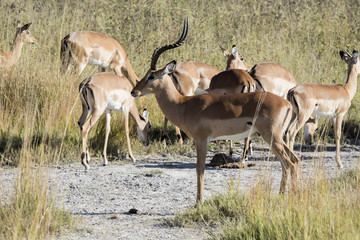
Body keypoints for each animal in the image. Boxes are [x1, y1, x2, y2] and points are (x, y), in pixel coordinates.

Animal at [132, 21, 300, 204]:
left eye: (151, 76)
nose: (134, 91)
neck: (183, 105)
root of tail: (286, 103)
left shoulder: (201, 140)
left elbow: (199, 169)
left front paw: (198, 202)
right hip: (277, 138)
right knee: (294, 160)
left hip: (272, 137)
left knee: (289, 163)